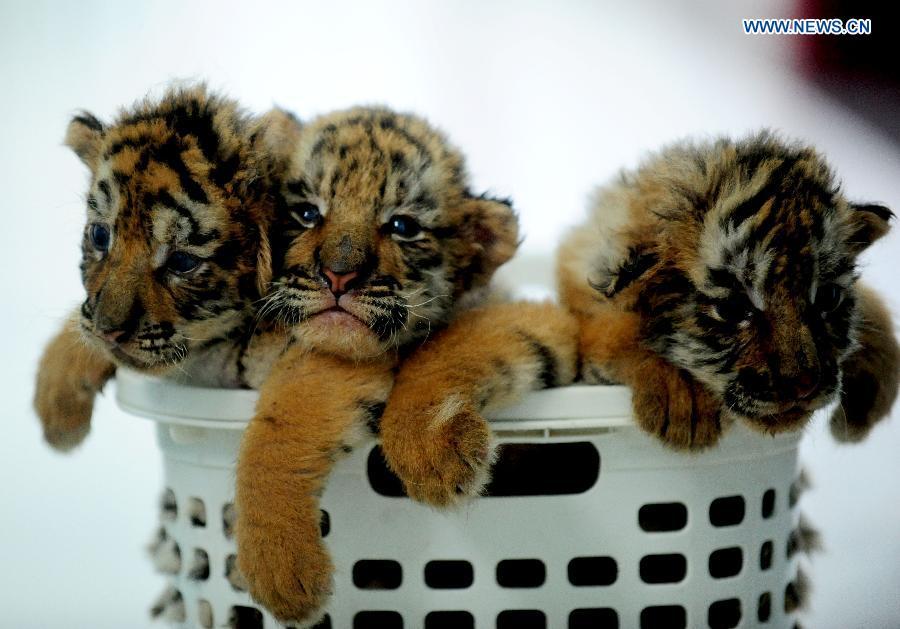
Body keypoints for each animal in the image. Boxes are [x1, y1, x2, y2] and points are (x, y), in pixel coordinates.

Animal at [233, 105, 579, 627]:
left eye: (402, 226)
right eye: (308, 213)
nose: (339, 274)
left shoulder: (537, 318)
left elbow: (445, 348)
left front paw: (434, 456)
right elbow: (280, 428)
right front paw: (280, 569)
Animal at [556, 130, 898, 449]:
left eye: (828, 298)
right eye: (732, 309)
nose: (804, 384)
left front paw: (866, 404)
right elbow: (616, 332)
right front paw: (684, 398)